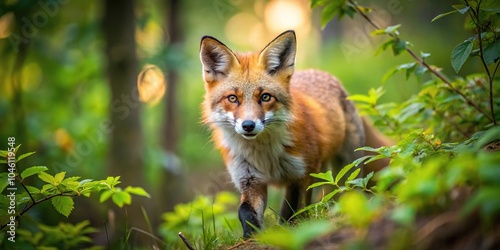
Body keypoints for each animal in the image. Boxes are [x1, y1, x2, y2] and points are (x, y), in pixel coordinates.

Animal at [199, 30, 390, 237]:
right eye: (233, 98)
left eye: (265, 97)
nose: (248, 125)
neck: (264, 154)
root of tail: (330, 77)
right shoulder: (250, 179)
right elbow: (246, 212)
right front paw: (251, 237)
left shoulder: (301, 174)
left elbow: (290, 212)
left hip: (346, 168)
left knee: (348, 193)